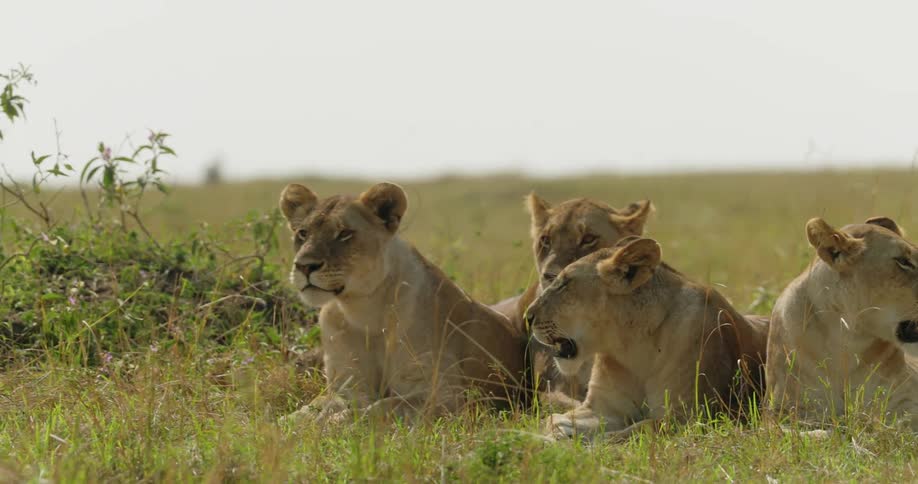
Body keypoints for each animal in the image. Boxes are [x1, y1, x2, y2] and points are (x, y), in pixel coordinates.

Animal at [279, 182, 528, 422]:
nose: (304, 266)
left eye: (344, 233)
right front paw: (293, 422)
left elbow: (377, 409)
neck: (362, 309)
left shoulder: (447, 396)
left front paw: (337, 423)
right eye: (302, 233)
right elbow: (312, 408)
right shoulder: (348, 385)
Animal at [524, 236, 768, 440]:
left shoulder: (690, 416)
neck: (632, 346)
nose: (527, 317)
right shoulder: (602, 409)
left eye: (564, 284)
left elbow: (636, 429)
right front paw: (558, 429)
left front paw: (572, 440)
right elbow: (554, 418)